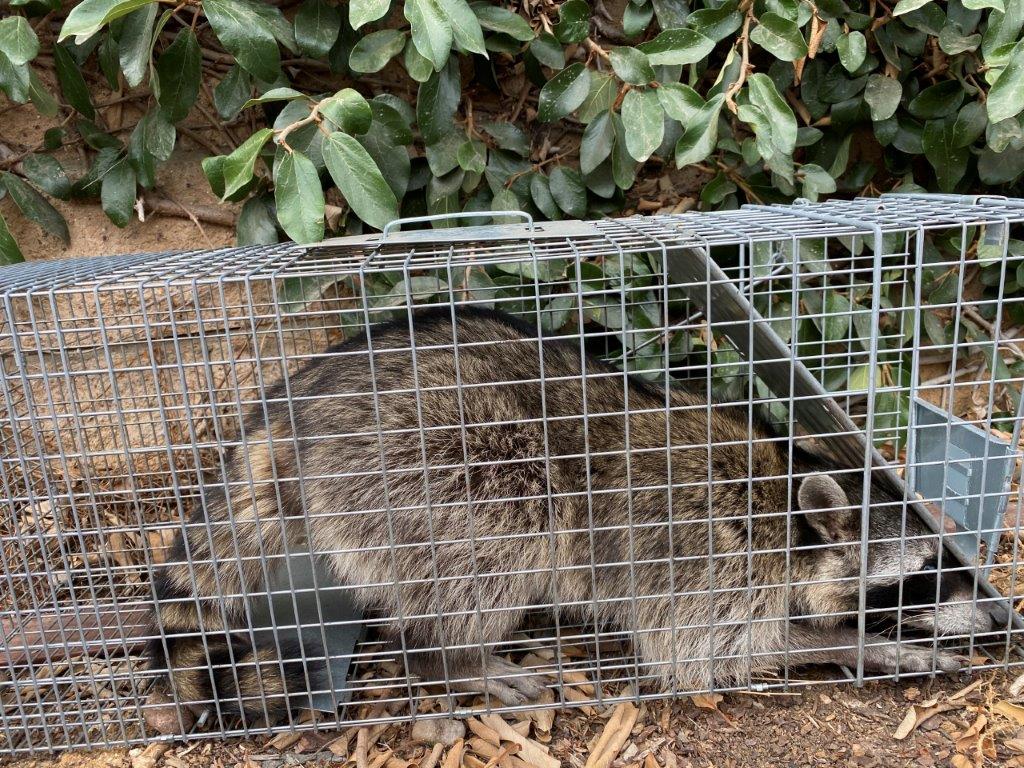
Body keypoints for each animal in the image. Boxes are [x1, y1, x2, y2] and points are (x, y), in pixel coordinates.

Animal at [148, 306, 992, 720]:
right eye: (922, 577)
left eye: (948, 559)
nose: (994, 615)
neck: (788, 497)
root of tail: (297, 412)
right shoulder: (710, 557)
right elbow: (710, 653)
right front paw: (866, 645)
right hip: (439, 468)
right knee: (502, 537)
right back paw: (454, 658)